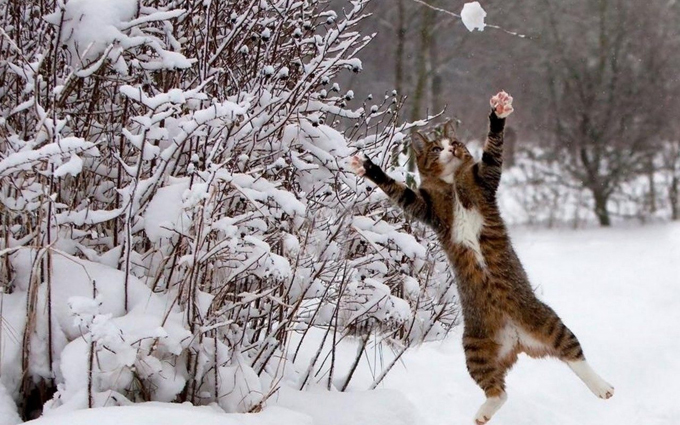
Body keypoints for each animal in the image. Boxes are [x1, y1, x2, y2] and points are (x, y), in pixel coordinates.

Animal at [348, 93, 612, 424]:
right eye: (436, 148)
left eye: (454, 142)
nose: (450, 148)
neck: (452, 183)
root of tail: (517, 340)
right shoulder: (425, 208)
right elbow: (399, 191)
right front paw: (368, 167)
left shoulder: (485, 180)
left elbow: (493, 152)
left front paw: (498, 111)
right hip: (475, 350)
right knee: (498, 390)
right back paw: (483, 414)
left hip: (547, 321)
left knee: (575, 356)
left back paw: (603, 387)